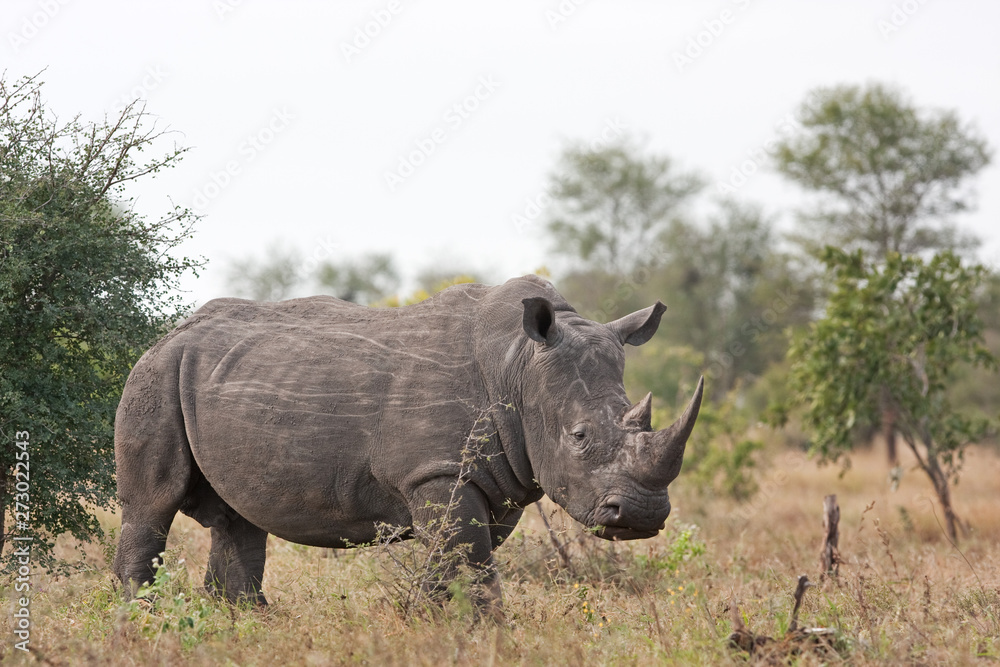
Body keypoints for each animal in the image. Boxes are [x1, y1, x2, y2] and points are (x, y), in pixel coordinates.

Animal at [113, 274, 703, 607]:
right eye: (579, 437)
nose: (643, 514)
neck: (518, 366)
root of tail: (168, 333)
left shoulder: (497, 478)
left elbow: (461, 565)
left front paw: (426, 622)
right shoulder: (437, 469)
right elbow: (468, 564)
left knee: (237, 519)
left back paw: (237, 626)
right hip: (155, 374)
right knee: (151, 507)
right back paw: (138, 621)